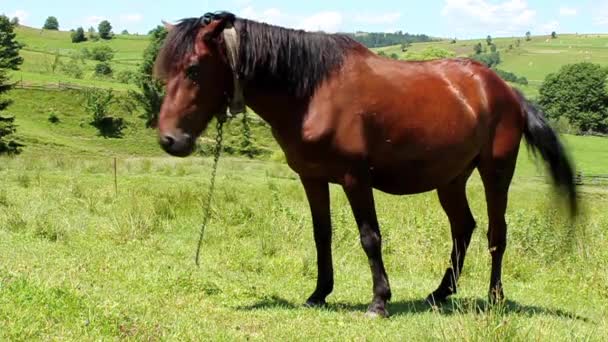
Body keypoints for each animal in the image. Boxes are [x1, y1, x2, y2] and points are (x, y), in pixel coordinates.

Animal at [154, 12, 576, 318]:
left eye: (194, 69)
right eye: (166, 70)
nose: (170, 140)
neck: (312, 92)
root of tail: (505, 91)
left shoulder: (356, 178)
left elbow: (370, 237)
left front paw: (379, 301)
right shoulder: (312, 178)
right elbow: (321, 234)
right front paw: (319, 293)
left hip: (496, 172)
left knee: (495, 234)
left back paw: (494, 298)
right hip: (451, 178)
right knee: (463, 229)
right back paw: (440, 293)